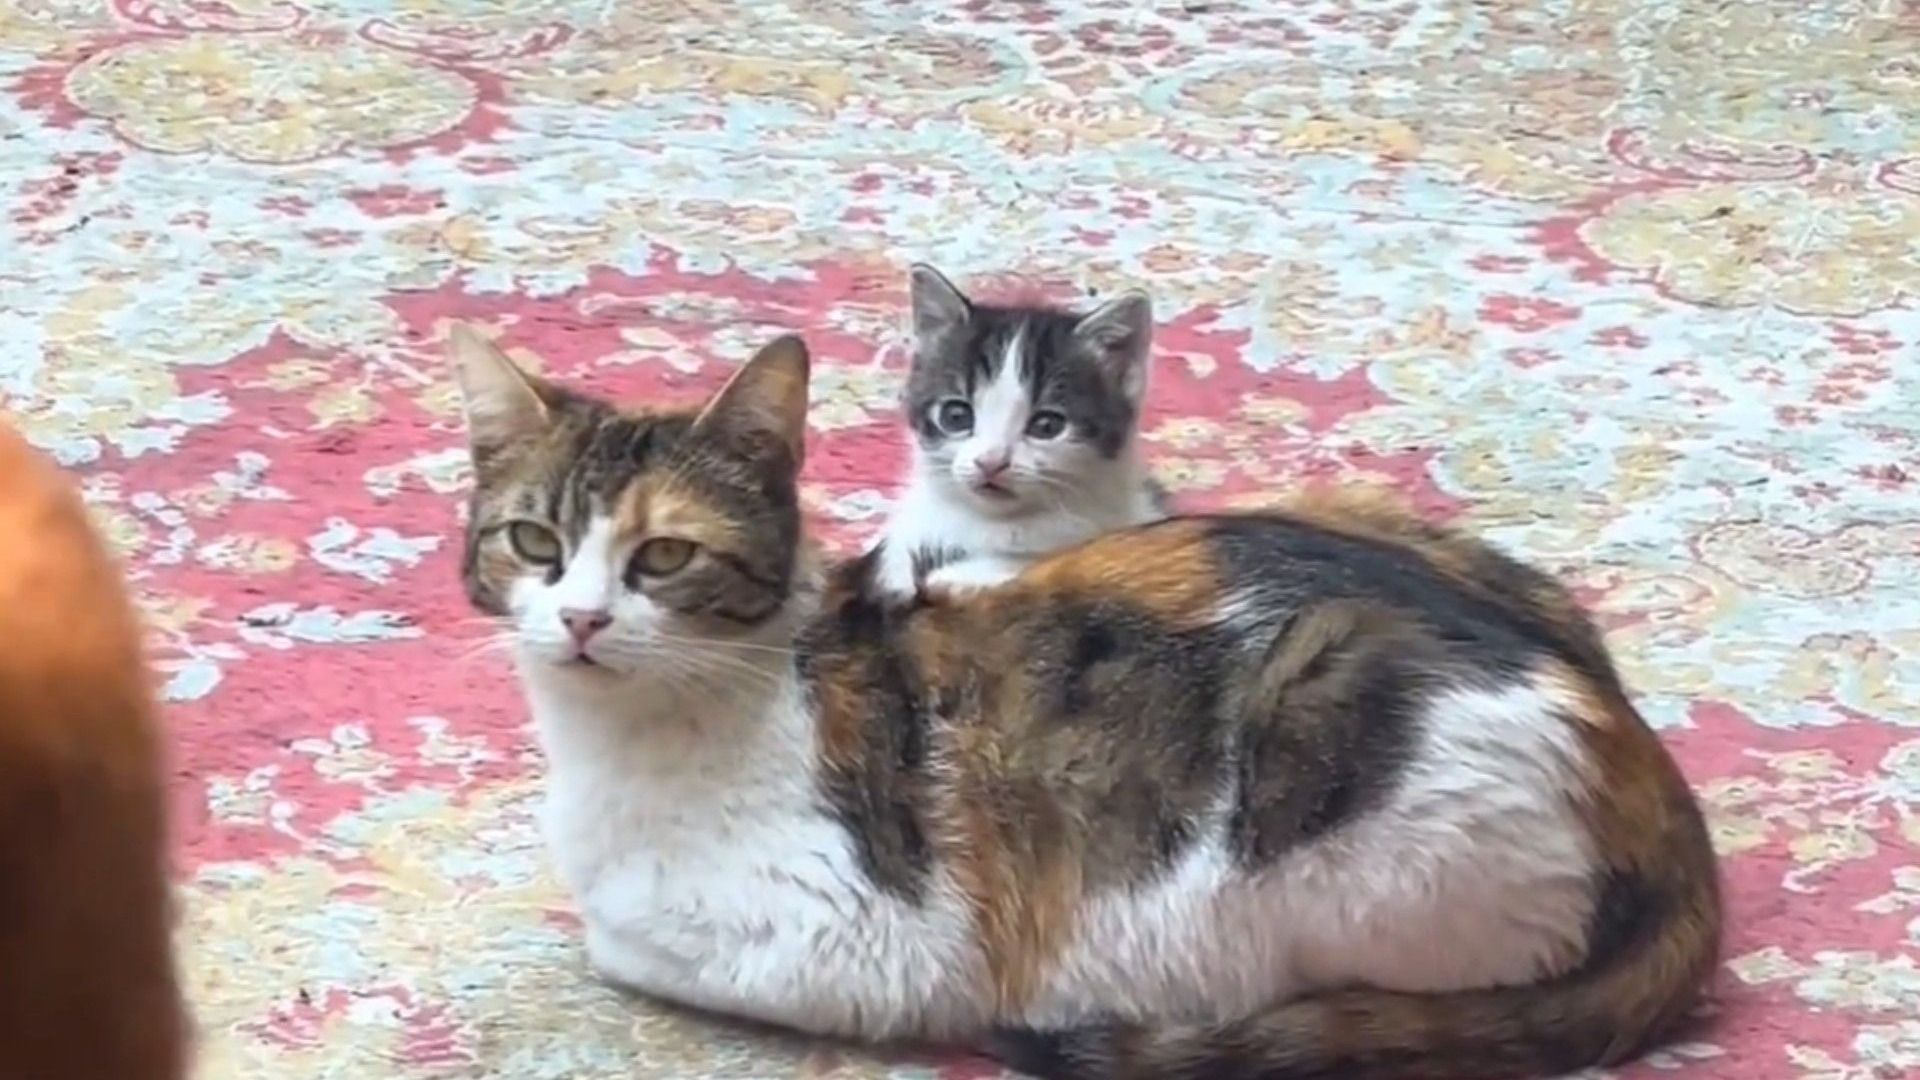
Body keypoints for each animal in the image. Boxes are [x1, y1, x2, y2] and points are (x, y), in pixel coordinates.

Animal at [447, 325, 1721, 1080]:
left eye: (663, 557)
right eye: (535, 543)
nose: (581, 621)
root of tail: (1663, 798)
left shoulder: (869, 940)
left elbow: (615, 941)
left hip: (1314, 786)